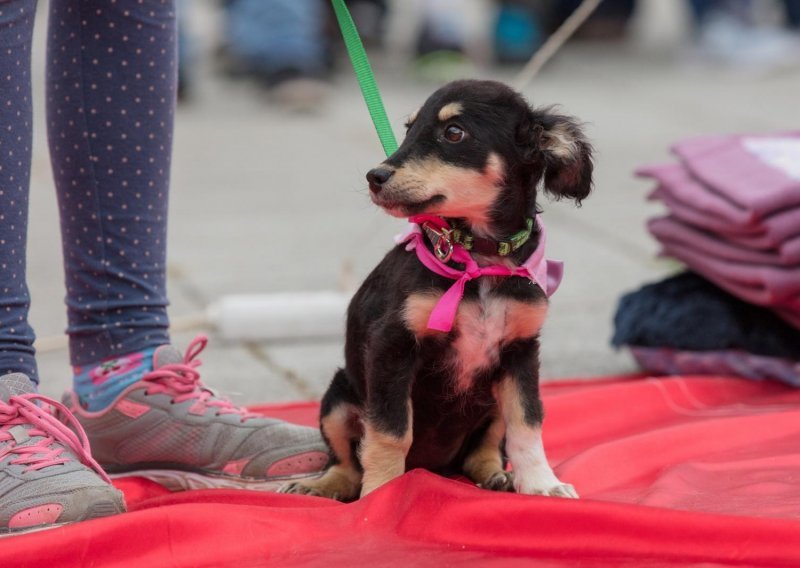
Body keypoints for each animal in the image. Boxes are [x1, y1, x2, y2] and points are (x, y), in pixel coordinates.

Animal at [284, 80, 592, 502]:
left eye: (454, 133)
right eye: (409, 128)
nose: (375, 176)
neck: (478, 259)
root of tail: (434, 468)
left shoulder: (521, 353)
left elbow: (527, 424)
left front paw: (541, 484)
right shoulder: (393, 347)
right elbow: (390, 432)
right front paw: (381, 495)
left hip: (490, 400)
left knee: (482, 450)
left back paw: (496, 475)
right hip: (339, 396)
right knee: (346, 464)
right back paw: (320, 486)